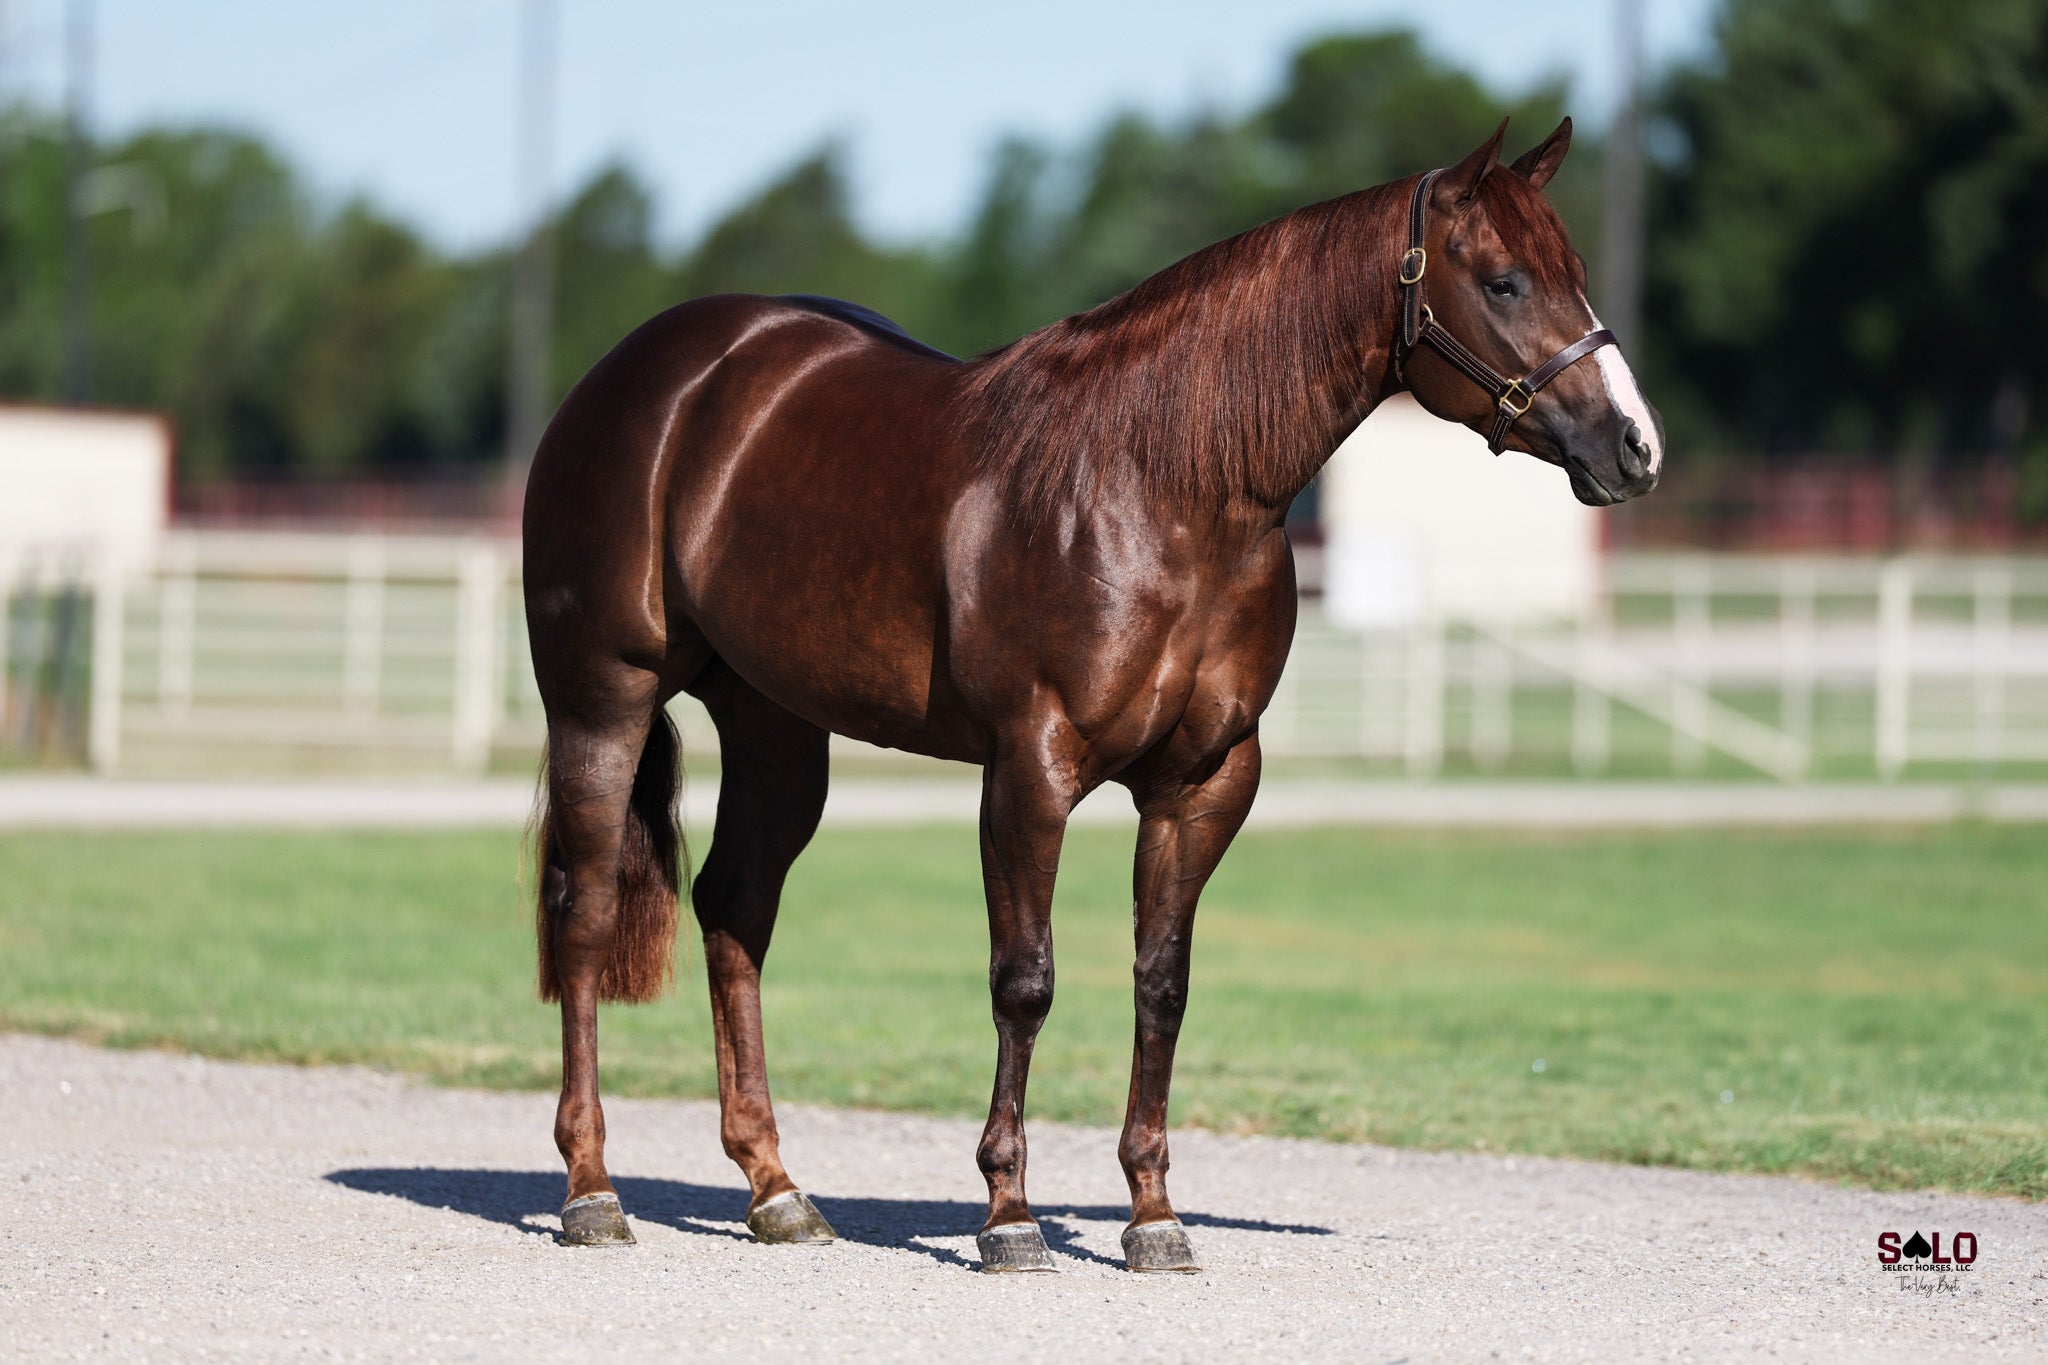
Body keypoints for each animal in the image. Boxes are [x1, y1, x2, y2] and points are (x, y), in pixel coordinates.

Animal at [521, 117, 1661, 1273]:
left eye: (1572, 272)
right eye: (1505, 281)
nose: (1634, 447)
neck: (1165, 487)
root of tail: (651, 372)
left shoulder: (1202, 783)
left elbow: (1162, 982)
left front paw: (1153, 1215)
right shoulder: (1032, 766)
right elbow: (1024, 979)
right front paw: (1008, 1215)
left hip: (776, 730)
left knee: (735, 906)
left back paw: (775, 1190)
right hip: (601, 700)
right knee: (587, 912)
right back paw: (591, 1190)